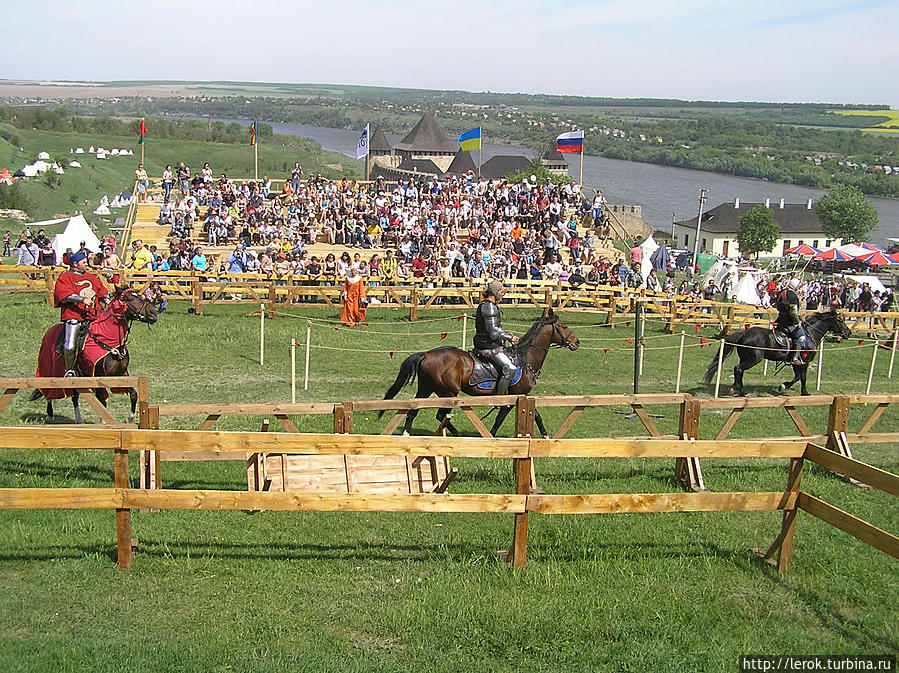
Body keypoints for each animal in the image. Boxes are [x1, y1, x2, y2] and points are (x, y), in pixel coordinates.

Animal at [34, 286, 158, 422]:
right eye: (130, 299)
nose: (153, 313)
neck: (106, 339)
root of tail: (48, 332)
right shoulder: (99, 377)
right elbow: (102, 401)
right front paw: (105, 422)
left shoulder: (121, 374)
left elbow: (134, 394)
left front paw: (129, 417)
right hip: (52, 371)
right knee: (50, 390)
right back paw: (50, 415)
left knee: (75, 397)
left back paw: (79, 421)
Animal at [378, 310, 576, 436]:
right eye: (564, 326)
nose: (577, 342)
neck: (525, 358)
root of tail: (426, 354)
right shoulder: (514, 398)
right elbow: (504, 419)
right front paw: (491, 436)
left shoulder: (521, 398)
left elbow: (534, 415)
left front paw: (545, 435)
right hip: (448, 393)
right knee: (441, 415)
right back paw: (457, 435)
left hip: (426, 389)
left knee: (413, 411)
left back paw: (406, 435)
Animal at [704, 312, 852, 400]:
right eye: (840, 321)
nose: (848, 332)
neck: (810, 334)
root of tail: (744, 333)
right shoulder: (805, 362)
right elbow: (802, 377)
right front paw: (803, 392)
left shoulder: (795, 362)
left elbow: (797, 376)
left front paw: (783, 386)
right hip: (753, 359)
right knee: (738, 369)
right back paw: (741, 391)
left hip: (746, 358)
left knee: (738, 370)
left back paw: (735, 388)